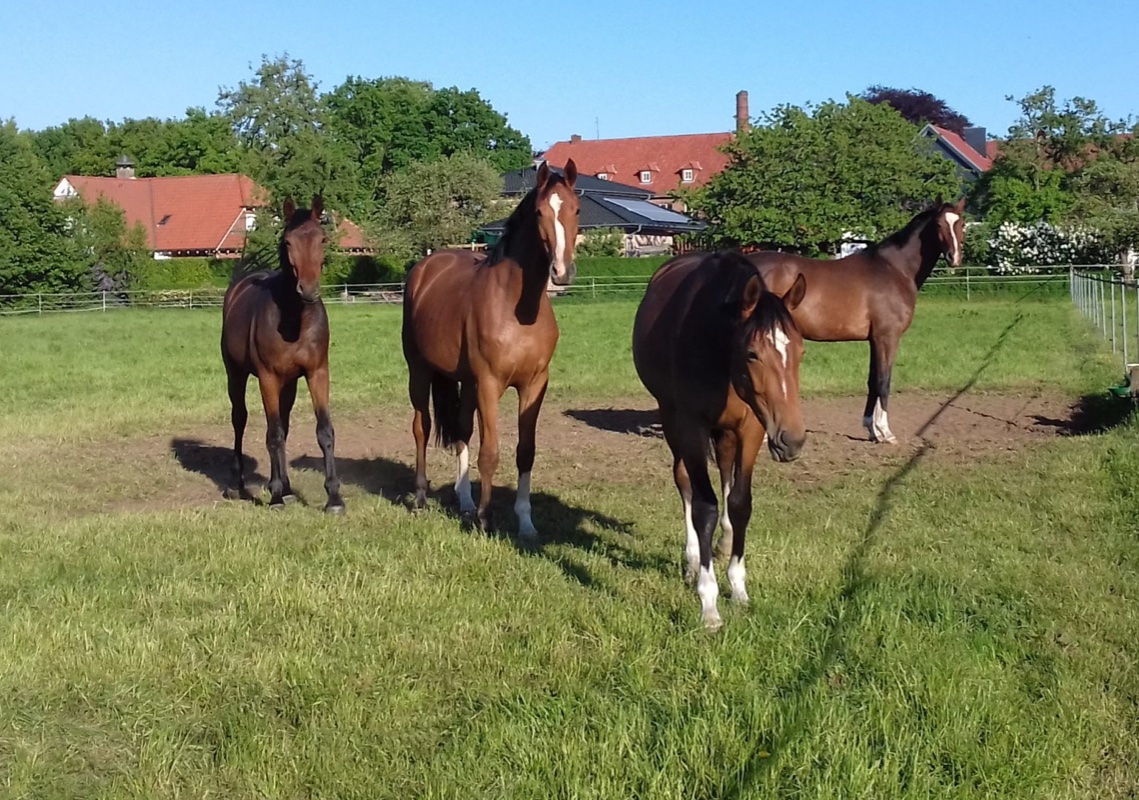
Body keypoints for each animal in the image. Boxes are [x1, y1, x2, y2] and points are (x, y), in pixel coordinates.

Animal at [220, 195, 344, 513]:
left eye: (322, 238)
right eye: (288, 241)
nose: (309, 289)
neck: (294, 320)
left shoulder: (317, 373)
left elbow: (324, 431)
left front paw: (334, 498)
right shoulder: (268, 377)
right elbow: (273, 434)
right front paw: (275, 496)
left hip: (288, 383)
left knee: (282, 425)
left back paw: (285, 486)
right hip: (236, 374)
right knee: (240, 419)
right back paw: (238, 484)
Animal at [402, 160, 580, 538]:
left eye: (576, 209)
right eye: (540, 212)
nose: (562, 271)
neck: (517, 308)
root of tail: (426, 267)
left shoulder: (534, 385)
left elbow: (525, 451)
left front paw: (525, 523)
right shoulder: (489, 384)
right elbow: (491, 452)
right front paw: (486, 519)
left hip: (465, 382)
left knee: (461, 431)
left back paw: (465, 502)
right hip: (420, 371)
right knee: (422, 427)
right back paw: (422, 498)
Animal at [633, 251, 807, 630]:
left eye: (801, 351)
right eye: (753, 353)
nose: (792, 439)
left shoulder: (752, 428)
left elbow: (740, 503)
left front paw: (738, 588)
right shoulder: (692, 426)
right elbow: (704, 506)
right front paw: (709, 603)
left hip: (727, 433)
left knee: (726, 476)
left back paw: (723, 543)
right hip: (672, 419)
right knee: (684, 482)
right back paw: (692, 560)